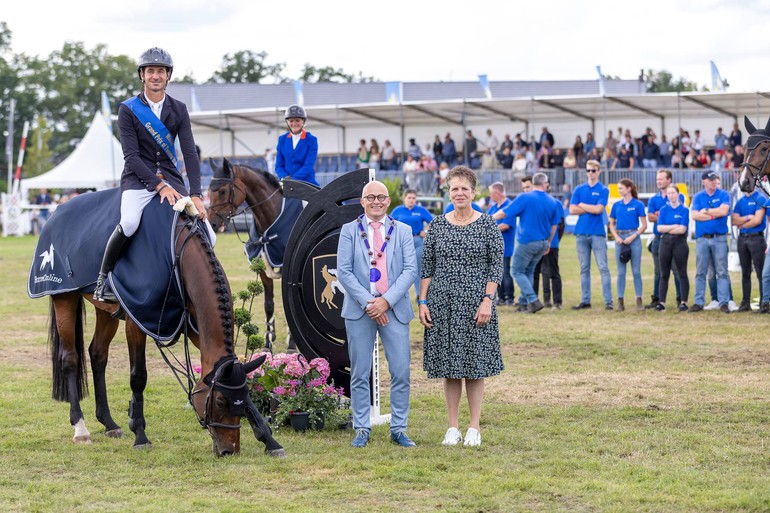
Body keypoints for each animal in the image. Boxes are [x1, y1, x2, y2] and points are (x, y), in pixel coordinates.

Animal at [49, 212, 286, 456]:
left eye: (239, 397)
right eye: (220, 402)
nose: (229, 450)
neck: (178, 255)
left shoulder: (195, 327)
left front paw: (270, 440)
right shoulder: (136, 321)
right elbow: (138, 376)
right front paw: (140, 435)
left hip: (104, 311)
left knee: (98, 354)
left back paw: (109, 423)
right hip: (64, 299)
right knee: (70, 359)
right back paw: (80, 428)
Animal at [206, 159, 292, 352]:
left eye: (223, 191)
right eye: (208, 191)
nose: (212, 224)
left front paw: (292, 345)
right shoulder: (263, 269)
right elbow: (269, 305)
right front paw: (268, 344)